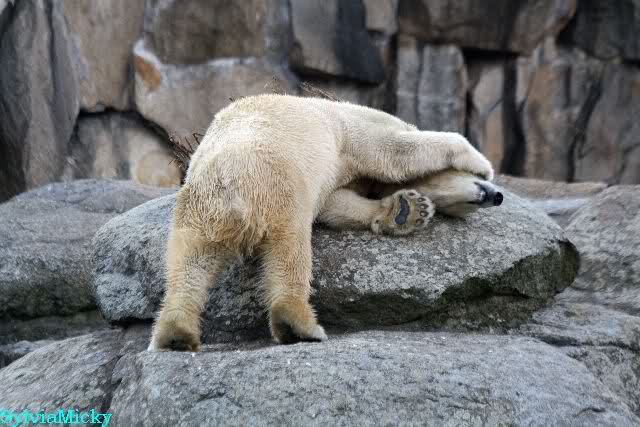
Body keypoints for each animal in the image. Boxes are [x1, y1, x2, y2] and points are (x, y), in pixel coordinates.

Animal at [148, 94, 500, 351]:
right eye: (469, 199)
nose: (495, 196)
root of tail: (227, 186)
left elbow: (335, 202)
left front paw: (406, 210)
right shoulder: (357, 130)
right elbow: (396, 153)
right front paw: (480, 163)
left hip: (197, 211)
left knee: (189, 264)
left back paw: (174, 333)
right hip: (278, 183)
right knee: (289, 249)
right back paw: (301, 325)